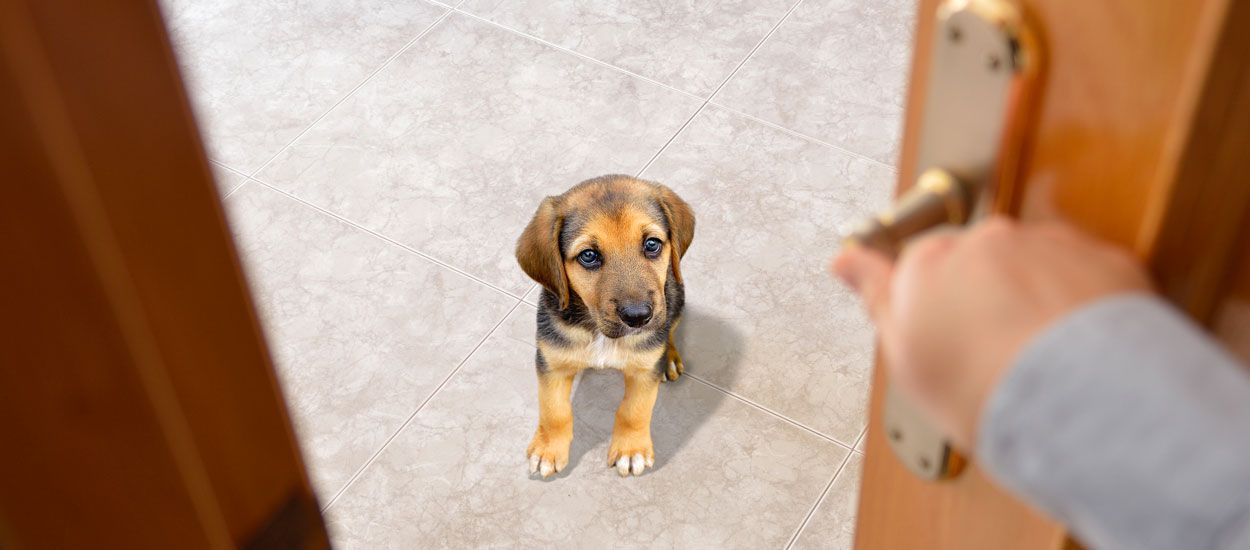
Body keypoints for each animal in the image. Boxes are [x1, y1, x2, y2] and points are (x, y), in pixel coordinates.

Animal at [515, 173, 700, 475]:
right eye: (588, 256)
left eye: (652, 244)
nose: (638, 317)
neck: (599, 332)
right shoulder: (551, 362)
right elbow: (554, 410)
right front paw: (548, 449)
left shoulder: (644, 369)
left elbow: (634, 410)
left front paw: (631, 449)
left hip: (676, 297)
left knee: (670, 328)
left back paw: (669, 358)